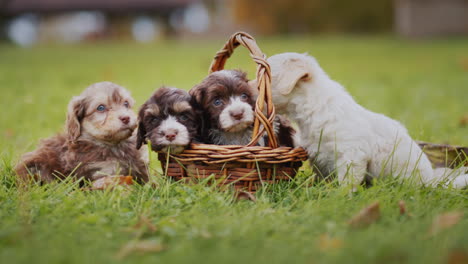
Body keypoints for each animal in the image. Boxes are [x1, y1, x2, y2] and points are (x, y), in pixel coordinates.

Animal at [15, 82, 148, 184]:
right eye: (101, 108)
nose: (126, 118)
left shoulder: (141, 166)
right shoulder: (103, 172)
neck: (114, 145)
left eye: (126, 104)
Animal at [266, 52, 468, 189]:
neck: (314, 107)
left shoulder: (352, 155)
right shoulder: (318, 157)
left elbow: (347, 183)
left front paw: (341, 196)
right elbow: (323, 178)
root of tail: (432, 181)